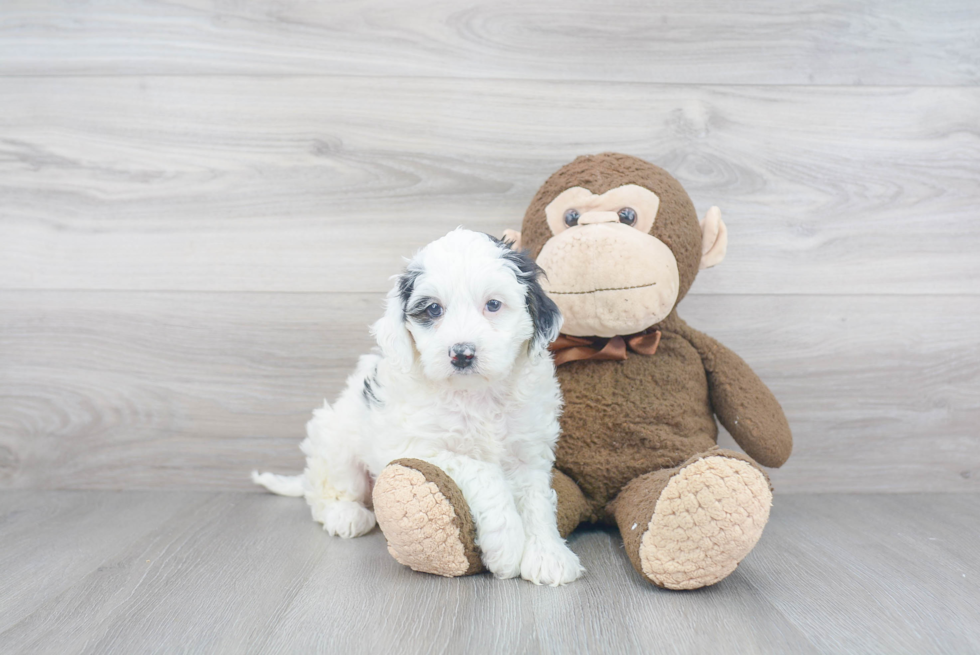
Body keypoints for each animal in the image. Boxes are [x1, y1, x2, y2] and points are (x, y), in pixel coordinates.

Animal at [256, 228, 584, 588]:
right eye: (434, 309)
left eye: (494, 305)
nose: (462, 353)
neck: (476, 394)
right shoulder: (421, 447)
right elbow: (483, 472)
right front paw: (507, 545)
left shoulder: (529, 449)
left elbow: (537, 501)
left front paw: (547, 555)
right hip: (336, 440)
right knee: (326, 492)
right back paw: (345, 514)